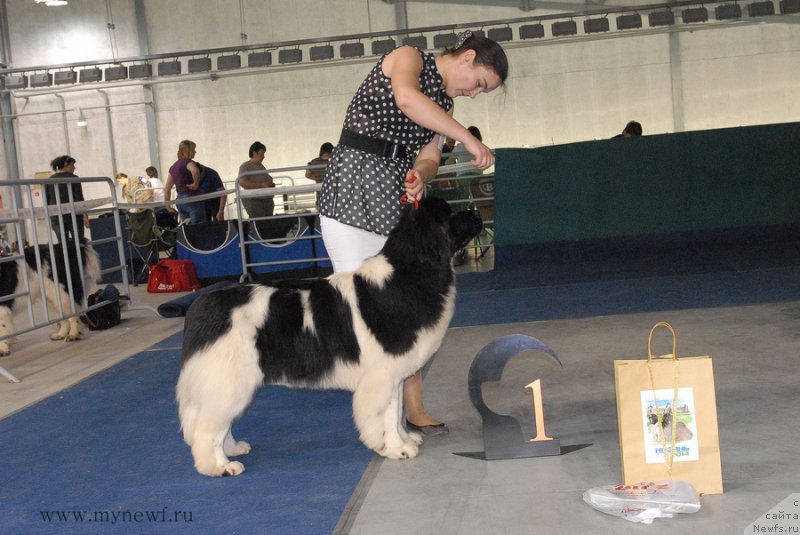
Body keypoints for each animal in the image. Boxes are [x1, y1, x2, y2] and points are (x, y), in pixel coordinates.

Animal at [177, 196, 482, 478]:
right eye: (449, 214)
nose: (477, 212)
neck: (408, 272)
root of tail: (202, 304)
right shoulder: (382, 376)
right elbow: (385, 415)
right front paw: (397, 448)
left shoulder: (394, 375)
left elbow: (396, 413)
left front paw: (405, 439)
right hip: (230, 379)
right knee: (208, 429)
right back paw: (220, 465)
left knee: (220, 421)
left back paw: (233, 448)